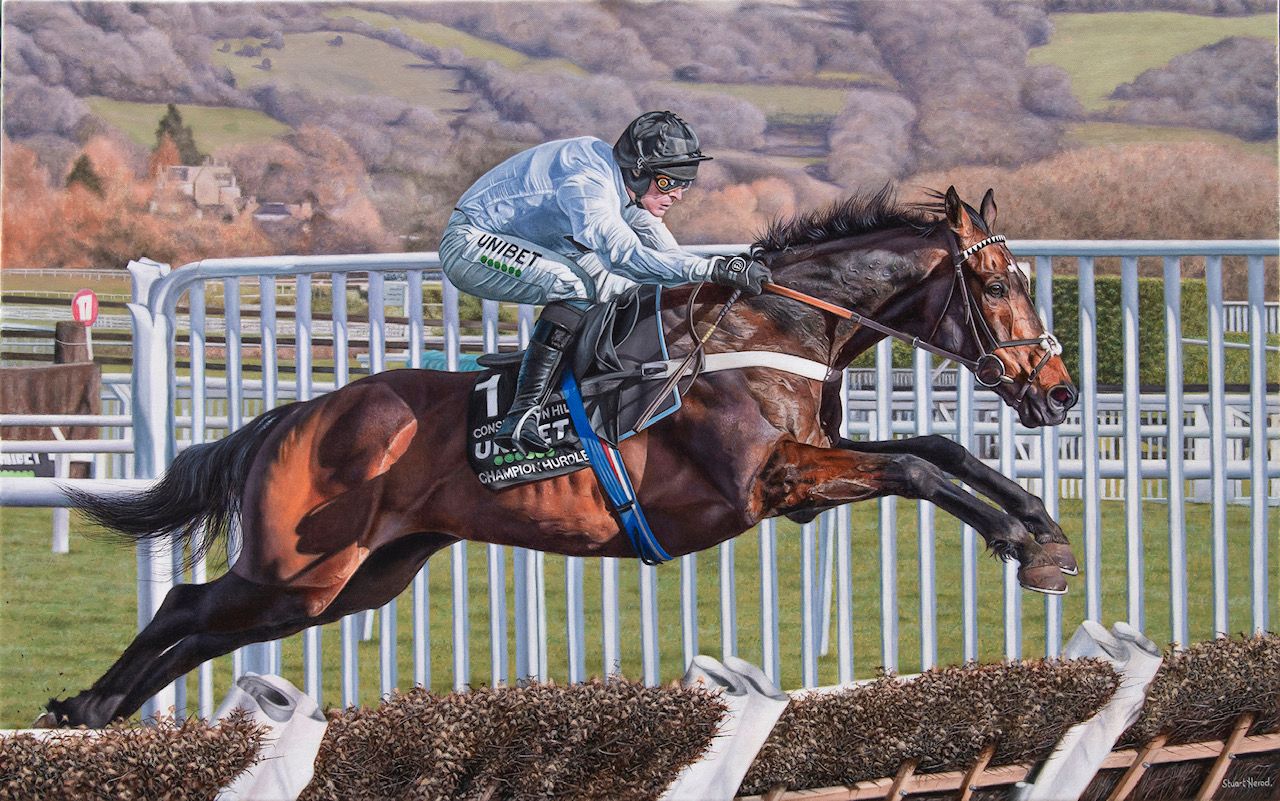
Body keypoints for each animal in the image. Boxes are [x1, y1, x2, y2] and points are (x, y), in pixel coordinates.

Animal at [45, 186, 1078, 728]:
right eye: (997, 281)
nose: (1060, 390)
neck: (771, 328)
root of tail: (296, 412)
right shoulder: (772, 482)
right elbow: (918, 469)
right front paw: (1025, 546)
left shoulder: (808, 473)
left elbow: (935, 446)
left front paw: (1043, 529)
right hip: (298, 565)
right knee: (185, 605)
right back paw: (87, 705)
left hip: (354, 580)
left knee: (206, 629)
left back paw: (97, 710)